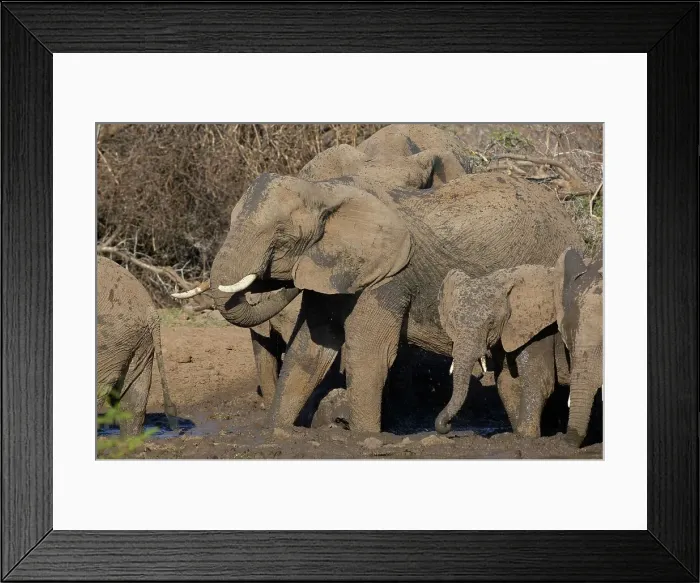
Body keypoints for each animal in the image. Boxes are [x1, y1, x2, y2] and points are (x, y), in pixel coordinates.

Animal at [436, 247, 602, 446]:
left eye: (491, 323)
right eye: (453, 324)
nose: (447, 427)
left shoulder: (539, 332)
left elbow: (539, 380)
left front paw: (527, 436)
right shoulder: (506, 334)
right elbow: (506, 380)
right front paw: (517, 435)